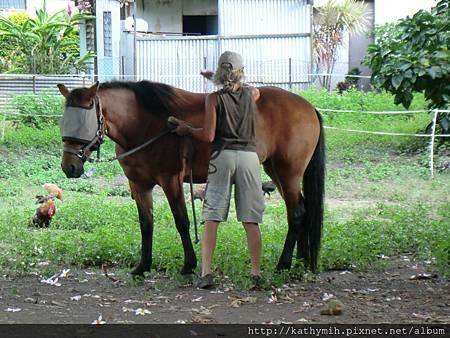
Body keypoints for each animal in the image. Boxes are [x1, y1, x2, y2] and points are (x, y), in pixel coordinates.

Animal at [56, 80, 326, 278]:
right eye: (63, 121)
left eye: (83, 122)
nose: (69, 166)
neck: (144, 124)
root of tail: (309, 107)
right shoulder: (139, 185)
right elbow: (146, 224)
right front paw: (143, 266)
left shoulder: (171, 180)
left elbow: (182, 222)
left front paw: (189, 264)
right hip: (275, 170)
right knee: (302, 209)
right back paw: (301, 261)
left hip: (288, 172)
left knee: (296, 213)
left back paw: (284, 264)